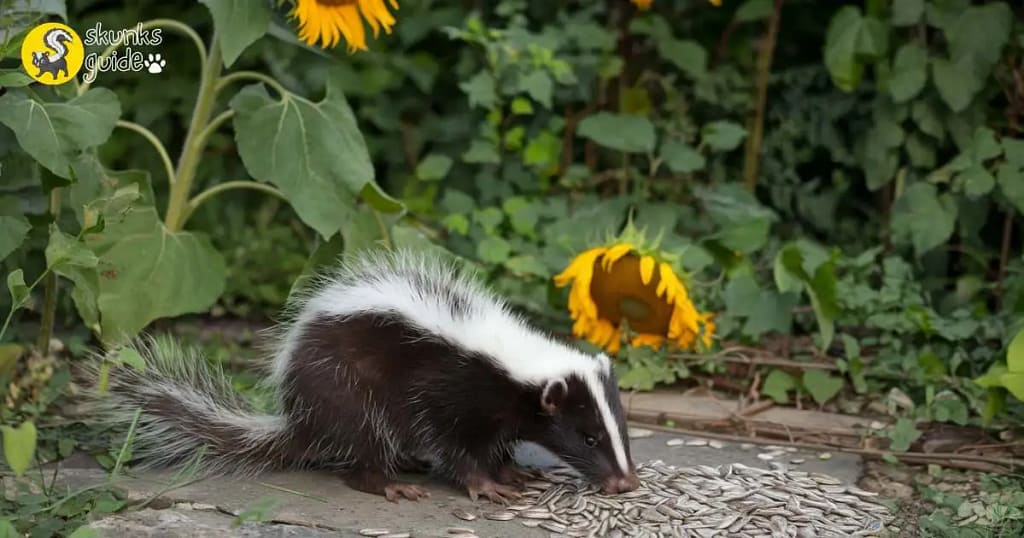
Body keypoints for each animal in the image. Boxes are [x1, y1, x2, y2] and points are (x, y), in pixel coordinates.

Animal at [81, 250, 638, 502]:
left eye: (622, 433)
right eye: (587, 437)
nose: (626, 482)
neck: (509, 359)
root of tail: (299, 419)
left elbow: (495, 442)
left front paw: (512, 472)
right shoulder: (448, 388)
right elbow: (455, 445)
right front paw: (486, 485)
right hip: (346, 388)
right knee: (364, 440)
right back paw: (389, 484)